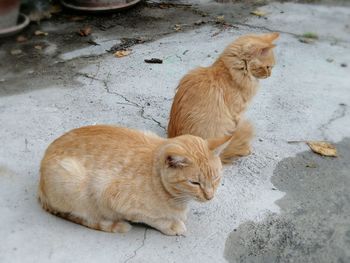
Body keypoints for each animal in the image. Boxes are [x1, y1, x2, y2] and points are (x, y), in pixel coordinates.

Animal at [38, 126, 231, 237]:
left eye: (216, 178)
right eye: (195, 183)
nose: (209, 196)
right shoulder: (111, 196)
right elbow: (152, 217)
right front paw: (171, 224)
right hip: (71, 181)